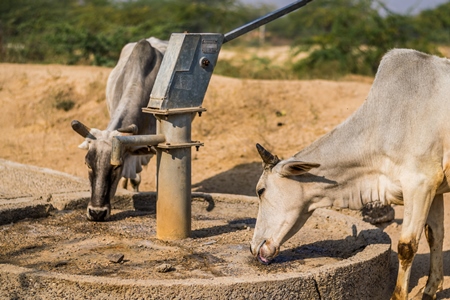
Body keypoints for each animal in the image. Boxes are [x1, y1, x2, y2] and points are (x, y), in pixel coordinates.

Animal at [251, 48, 450, 298]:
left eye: (260, 190)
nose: (253, 247)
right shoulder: (435, 188)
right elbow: (435, 235)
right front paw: (431, 289)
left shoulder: (420, 182)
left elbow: (406, 246)